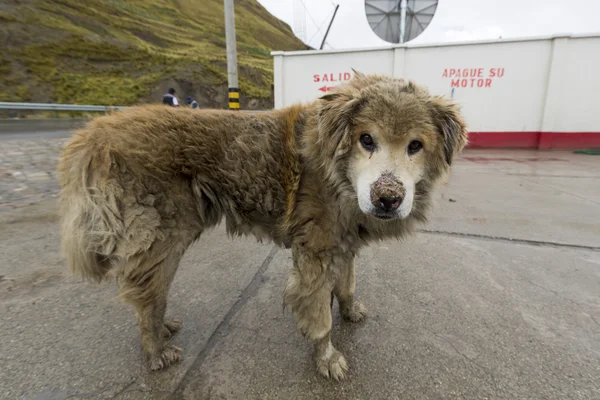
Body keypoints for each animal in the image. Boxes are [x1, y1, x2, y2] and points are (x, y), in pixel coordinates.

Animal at [57, 70, 468, 380]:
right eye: (366, 139)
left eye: (415, 146)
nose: (387, 198)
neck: (336, 175)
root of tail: (98, 129)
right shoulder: (315, 254)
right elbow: (320, 318)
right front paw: (327, 358)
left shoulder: (343, 240)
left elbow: (348, 283)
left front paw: (350, 310)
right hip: (161, 240)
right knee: (147, 299)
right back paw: (156, 349)